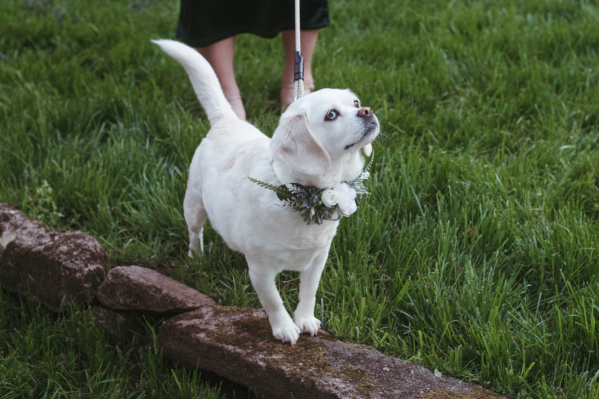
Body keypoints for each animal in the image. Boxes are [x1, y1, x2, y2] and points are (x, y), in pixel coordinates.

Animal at [155, 41, 380, 346]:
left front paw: (305, 319)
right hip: (193, 204)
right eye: (331, 115)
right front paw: (284, 328)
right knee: (195, 232)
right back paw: (196, 257)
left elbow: (309, 292)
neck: (303, 196)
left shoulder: (318, 259)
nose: (367, 110)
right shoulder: (261, 270)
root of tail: (227, 121)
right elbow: (273, 301)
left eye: (355, 104)